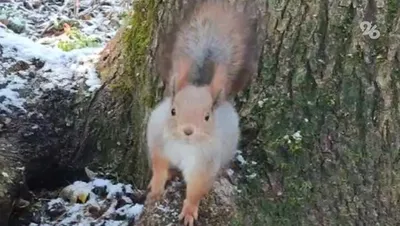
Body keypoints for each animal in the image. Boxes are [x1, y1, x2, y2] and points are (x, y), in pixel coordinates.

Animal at [146, 0, 256, 225]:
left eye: (207, 116)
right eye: (173, 111)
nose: (188, 131)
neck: (184, 145)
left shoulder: (203, 164)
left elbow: (196, 190)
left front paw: (189, 211)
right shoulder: (159, 144)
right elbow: (159, 168)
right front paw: (156, 189)